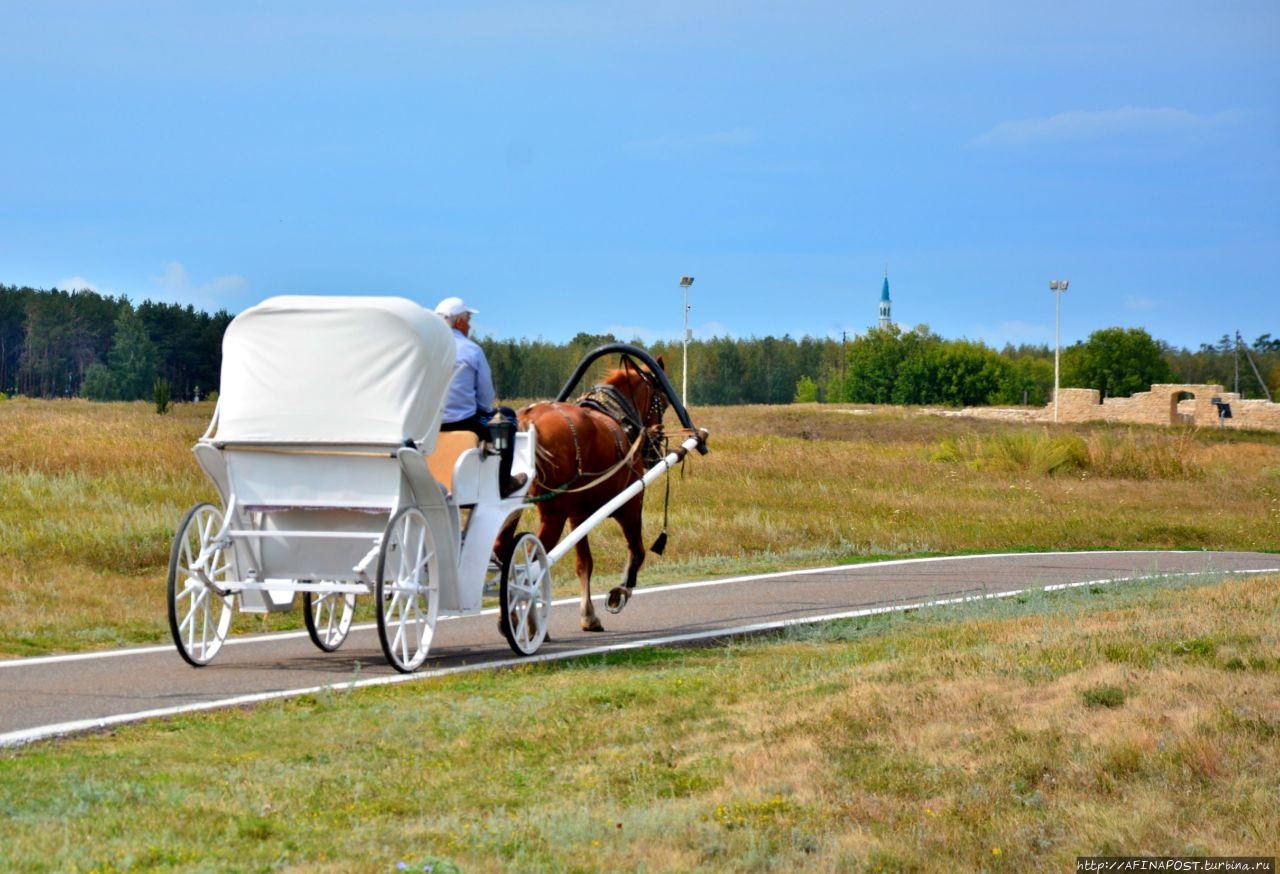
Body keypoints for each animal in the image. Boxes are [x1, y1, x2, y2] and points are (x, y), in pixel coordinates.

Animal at [509, 353, 670, 632]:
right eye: (665, 402)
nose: (653, 450)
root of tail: (529, 421)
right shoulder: (630, 504)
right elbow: (637, 551)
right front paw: (619, 592)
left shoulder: (578, 516)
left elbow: (584, 564)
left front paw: (588, 615)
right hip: (553, 515)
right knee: (530, 565)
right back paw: (530, 621)